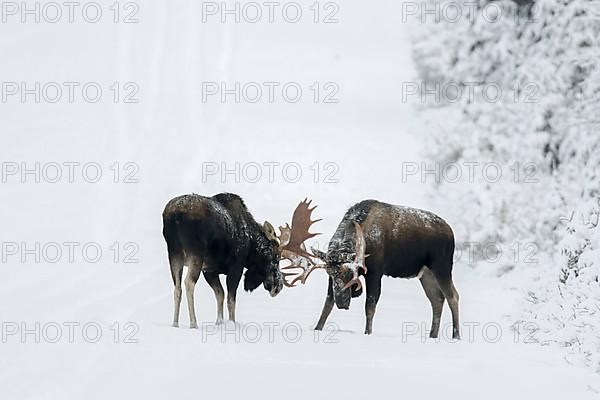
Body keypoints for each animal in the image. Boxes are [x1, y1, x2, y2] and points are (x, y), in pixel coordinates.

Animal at [282, 198, 460, 340]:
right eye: (330, 273)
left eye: (349, 273)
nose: (342, 302)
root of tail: (451, 232)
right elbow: (327, 303)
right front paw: (317, 328)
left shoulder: (375, 272)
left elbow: (370, 306)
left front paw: (367, 333)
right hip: (425, 273)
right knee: (437, 299)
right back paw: (433, 335)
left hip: (441, 266)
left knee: (453, 296)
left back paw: (456, 335)